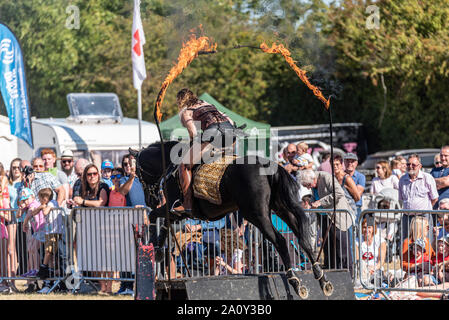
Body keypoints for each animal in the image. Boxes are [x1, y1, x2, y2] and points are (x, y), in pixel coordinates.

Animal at [130, 141, 332, 298]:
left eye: (138, 174)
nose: (150, 200)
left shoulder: (175, 209)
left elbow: (154, 216)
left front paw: (155, 247)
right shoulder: (178, 213)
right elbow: (163, 222)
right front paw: (157, 250)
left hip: (257, 214)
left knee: (281, 241)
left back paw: (295, 282)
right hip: (281, 209)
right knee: (303, 239)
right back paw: (322, 279)